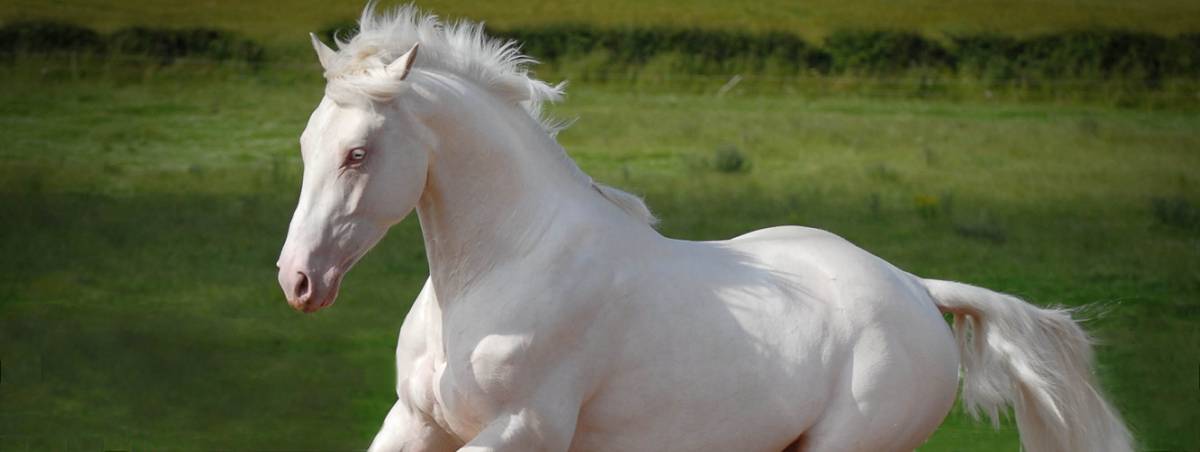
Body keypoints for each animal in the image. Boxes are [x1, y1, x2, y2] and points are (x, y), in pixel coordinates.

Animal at [278, 5, 1132, 448]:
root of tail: (918, 288)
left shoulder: (522, 431)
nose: (297, 281)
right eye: (306, 142)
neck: (499, 272)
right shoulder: (416, 422)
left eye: (358, 153)